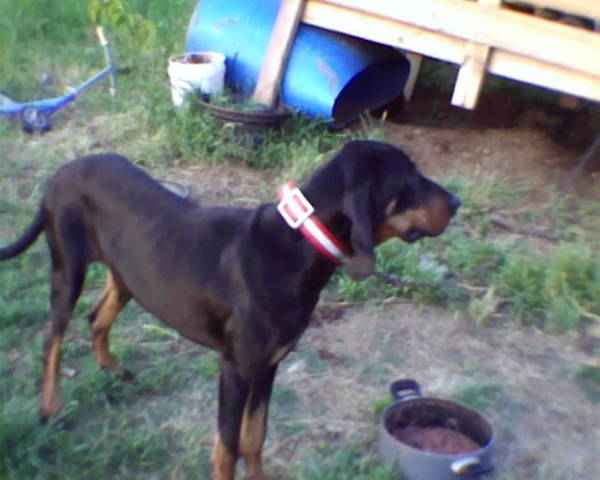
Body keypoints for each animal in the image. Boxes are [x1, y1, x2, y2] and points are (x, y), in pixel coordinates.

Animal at [0, 140, 460, 479]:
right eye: (409, 176)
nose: (456, 202)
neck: (294, 246)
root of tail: (61, 171)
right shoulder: (236, 369)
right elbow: (227, 447)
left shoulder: (268, 365)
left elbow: (254, 437)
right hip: (68, 269)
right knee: (52, 339)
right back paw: (49, 409)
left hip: (128, 275)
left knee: (97, 317)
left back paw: (111, 368)